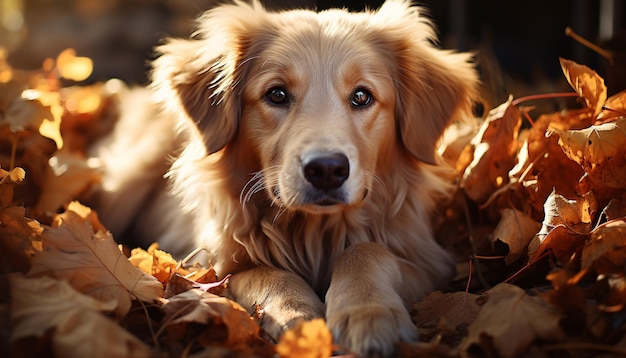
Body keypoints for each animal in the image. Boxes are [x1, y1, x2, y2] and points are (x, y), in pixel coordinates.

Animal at [89, 0, 478, 356]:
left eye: (362, 96)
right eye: (276, 94)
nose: (326, 170)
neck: (315, 232)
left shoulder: (432, 263)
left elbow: (367, 250)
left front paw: (369, 315)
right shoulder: (206, 267)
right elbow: (267, 273)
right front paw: (299, 319)